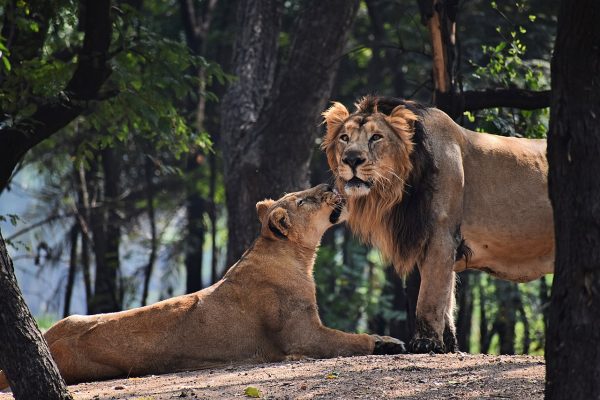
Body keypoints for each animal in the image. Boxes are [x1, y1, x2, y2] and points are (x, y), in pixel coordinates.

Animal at [1, 184, 404, 388]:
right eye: (306, 198)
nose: (332, 183)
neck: (297, 256)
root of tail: (48, 338)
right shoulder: (303, 335)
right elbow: (349, 340)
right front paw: (386, 342)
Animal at [324, 97, 552, 354]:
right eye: (344, 137)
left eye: (376, 137)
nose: (351, 159)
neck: (399, 189)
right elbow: (446, 296)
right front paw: (449, 345)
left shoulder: (442, 234)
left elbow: (430, 294)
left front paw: (426, 343)